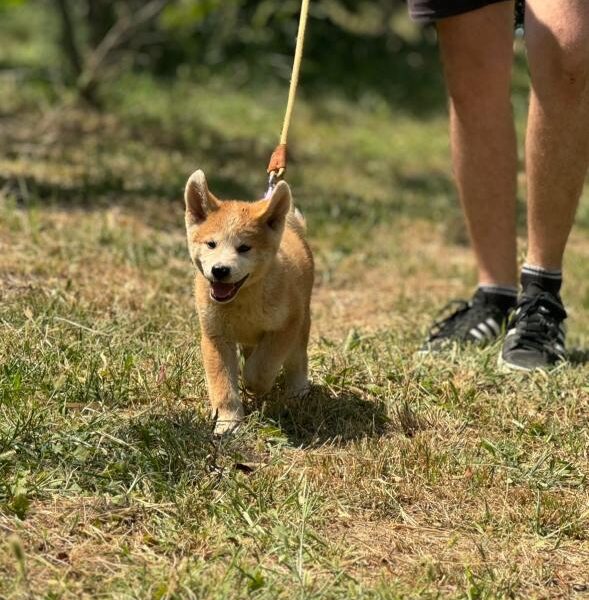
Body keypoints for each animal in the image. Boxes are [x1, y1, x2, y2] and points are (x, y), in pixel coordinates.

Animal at [184, 171, 314, 434]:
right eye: (211, 244)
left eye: (244, 247)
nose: (220, 270)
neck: (242, 300)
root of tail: (292, 228)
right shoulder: (215, 336)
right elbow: (223, 385)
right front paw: (228, 422)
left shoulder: (287, 325)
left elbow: (261, 368)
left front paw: (255, 385)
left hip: (302, 324)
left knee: (297, 360)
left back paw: (297, 392)